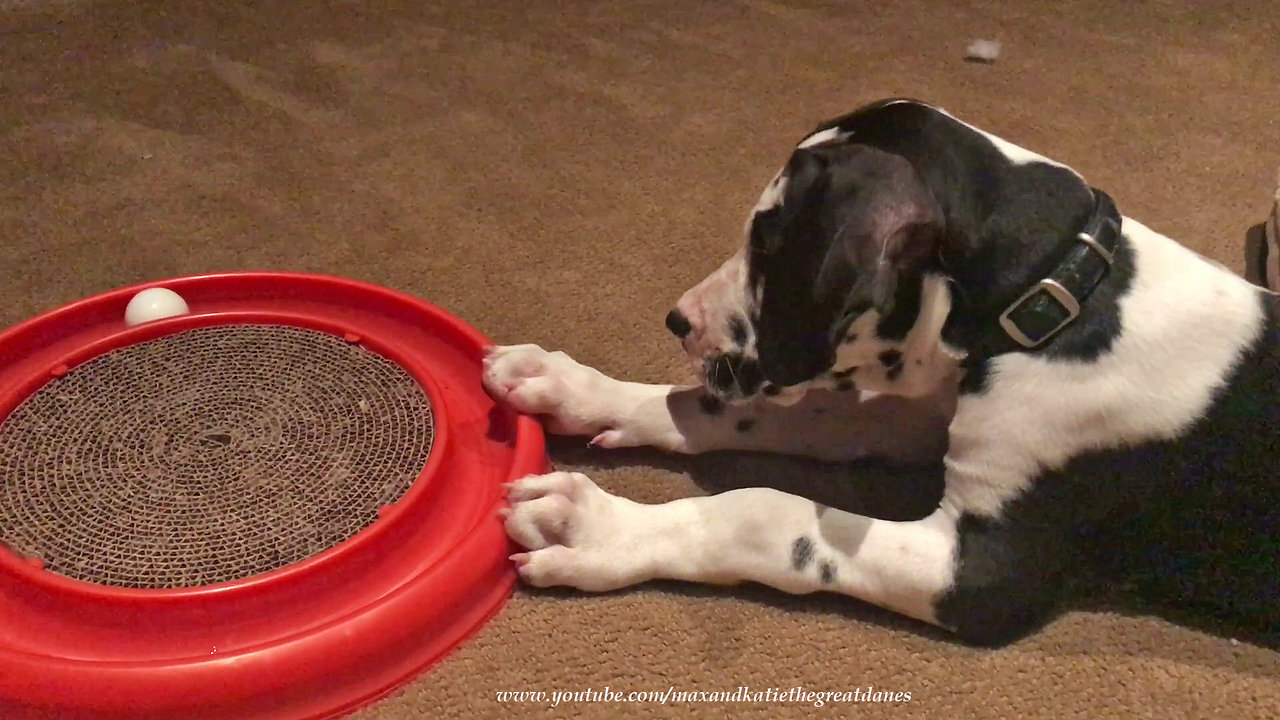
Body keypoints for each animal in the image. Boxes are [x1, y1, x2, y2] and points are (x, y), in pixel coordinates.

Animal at [481, 96, 1280, 645]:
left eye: (768, 245)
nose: (680, 320)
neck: (1059, 302)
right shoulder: (926, 414)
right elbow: (737, 410)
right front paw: (575, 387)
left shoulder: (984, 574)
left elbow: (765, 511)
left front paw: (597, 528)